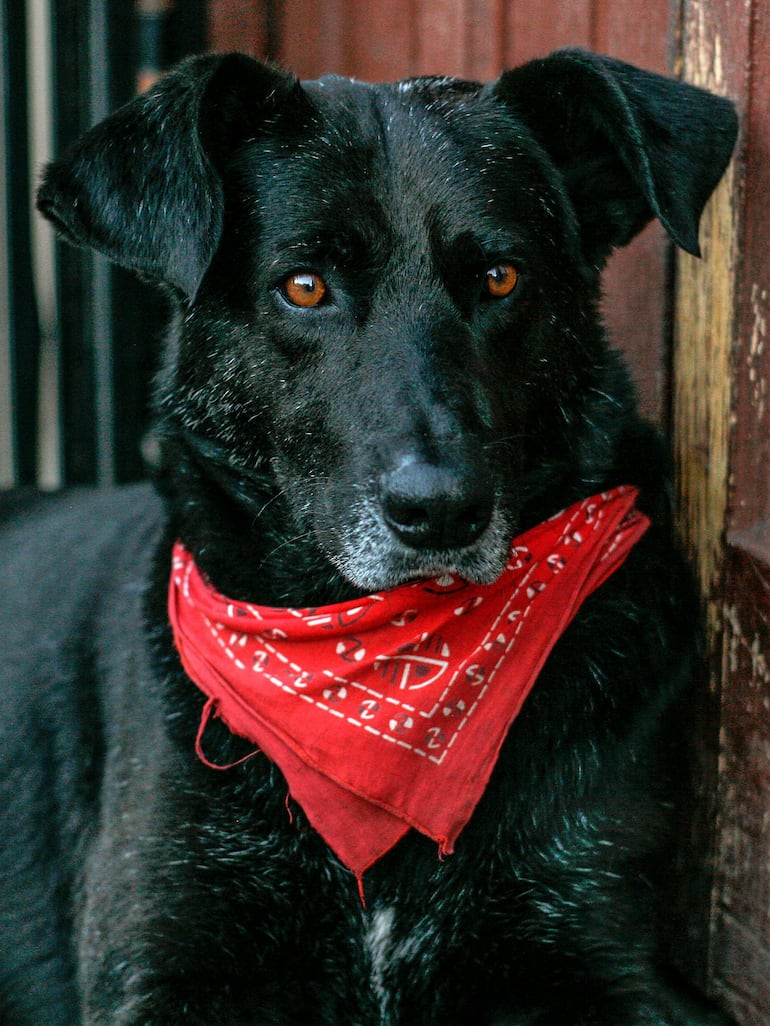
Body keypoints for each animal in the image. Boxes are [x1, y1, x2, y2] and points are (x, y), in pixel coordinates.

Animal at [0, 50, 735, 1026]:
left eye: (501, 277)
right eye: (305, 286)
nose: (442, 511)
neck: (380, 669)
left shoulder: (604, 953)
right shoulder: (165, 970)